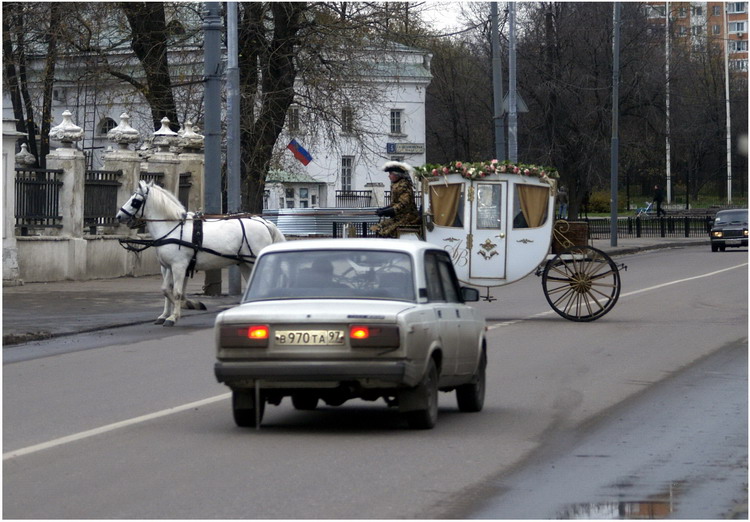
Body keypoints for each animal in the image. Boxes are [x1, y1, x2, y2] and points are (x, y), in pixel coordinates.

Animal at [119, 181, 286, 322]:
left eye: (135, 201)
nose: (118, 216)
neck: (172, 228)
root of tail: (264, 222)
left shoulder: (179, 267)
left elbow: (177, 292)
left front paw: (175, 315)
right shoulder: (167, 267)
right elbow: (166, 290)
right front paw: (170, 312)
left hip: (254, 260)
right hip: (245, 263)